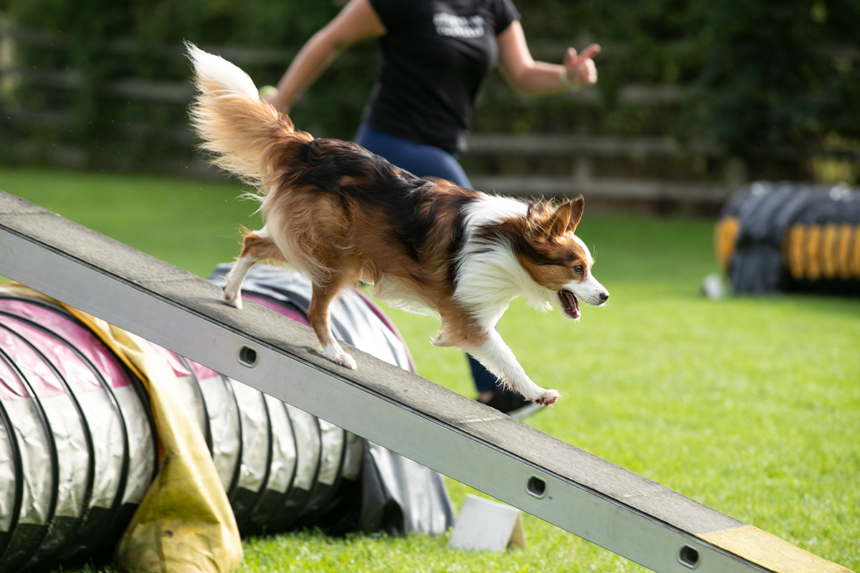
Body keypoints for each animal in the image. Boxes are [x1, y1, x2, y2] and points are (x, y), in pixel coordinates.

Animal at [186, 43, 608, 406]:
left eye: (589, 268)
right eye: (578, 268)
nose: (605, 296)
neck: (510, 242)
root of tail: (307, 145)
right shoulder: (468, 319)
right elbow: (507, 357)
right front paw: (539, 392)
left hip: (315, 244)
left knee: (254, 244)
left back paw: (232, 294)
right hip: (337, 258)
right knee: (315, 310)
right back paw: (335, 353)